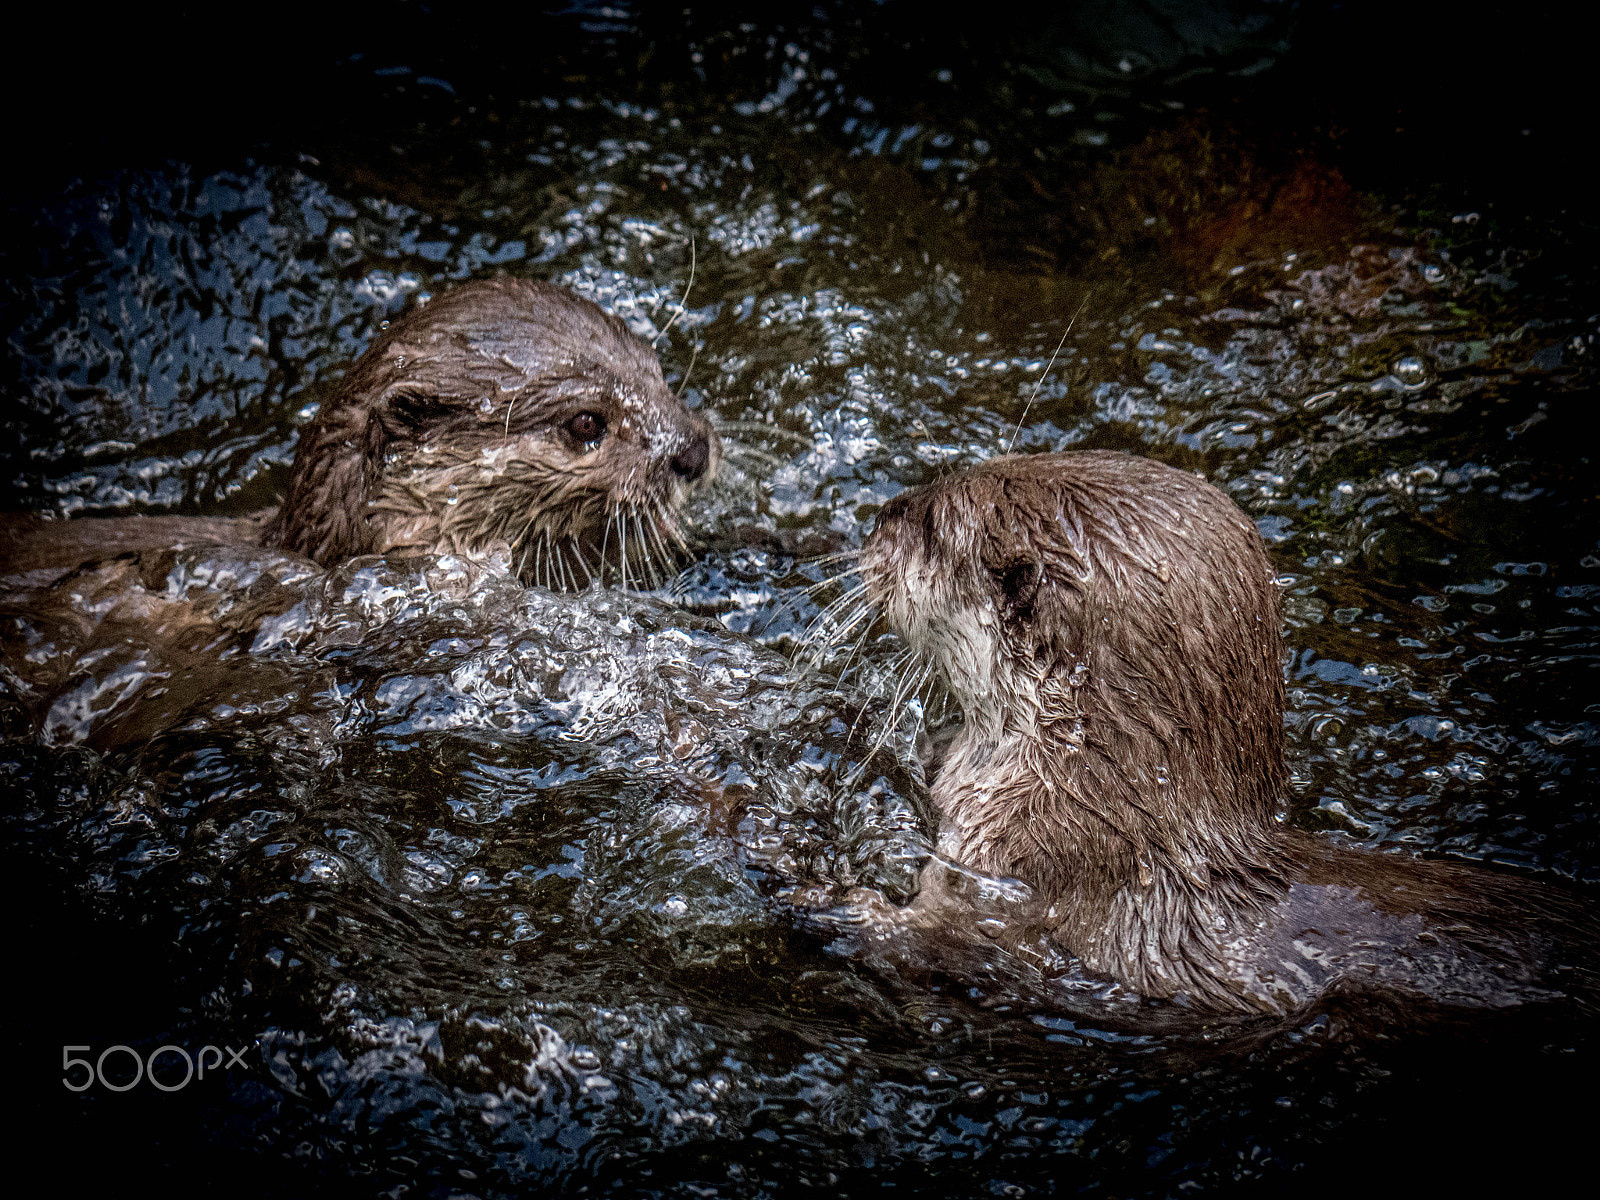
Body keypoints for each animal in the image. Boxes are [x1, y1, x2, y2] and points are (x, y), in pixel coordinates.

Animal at [852, 450, 1593, 1015]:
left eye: (928, 521)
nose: (879, 515)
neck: (1093, 805)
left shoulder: (1010, 871)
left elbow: (931, 938)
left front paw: (846, 906)